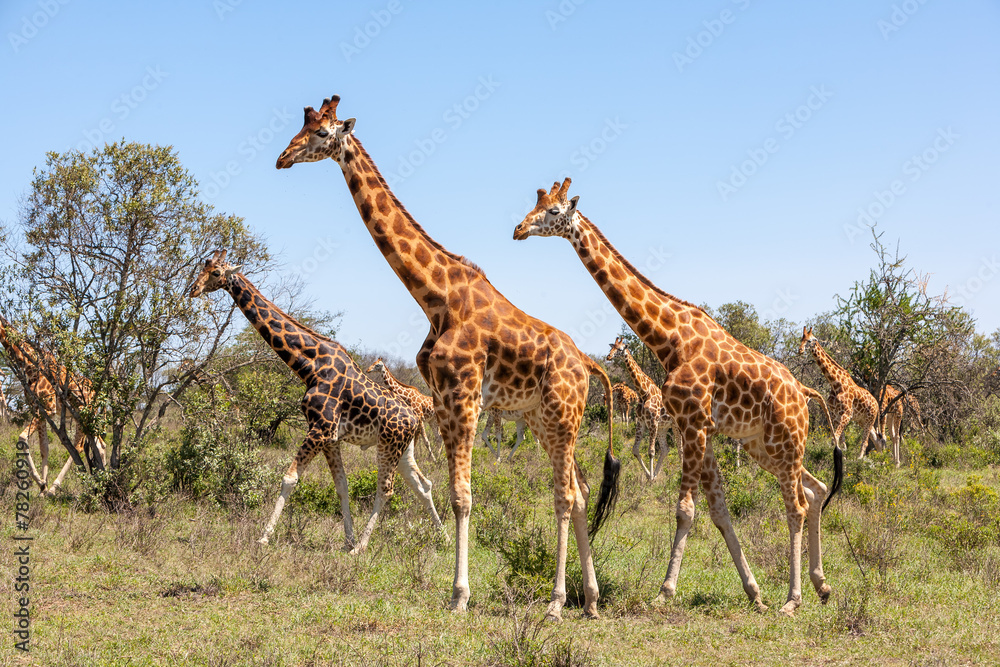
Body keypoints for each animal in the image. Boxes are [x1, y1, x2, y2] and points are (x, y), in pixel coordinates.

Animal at [0, 318, 106, 496]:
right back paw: (105, 481)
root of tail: (100, 395)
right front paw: (42, 488)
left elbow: (22, 438)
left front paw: (42, 484)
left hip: (84, 415)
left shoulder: (49, 408)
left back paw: (55, 487)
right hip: (88, 418)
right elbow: (44, 447)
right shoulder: (38, 409)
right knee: (101, 445)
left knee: (77, 447)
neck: (29, 364)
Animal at [189, 251, 443, 553]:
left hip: (389, 445)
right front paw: (347, 538)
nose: (193, 289)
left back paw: (362, 548)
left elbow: (289, 478)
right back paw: (443, 537)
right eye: (202, 266)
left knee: (387, 489)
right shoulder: (330, 437)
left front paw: (263, 537)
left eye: (216, 273)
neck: (310, 366)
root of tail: (414, 419)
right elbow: (342, 486)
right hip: (403, 449)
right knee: (423, 485)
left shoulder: (320, 429)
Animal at [276, 96, 617, 621]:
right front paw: (458, 589)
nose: (283, 158)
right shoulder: (440, 401)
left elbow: (462, 497)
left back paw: (558, 602)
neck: (436, 297)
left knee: (564, 496)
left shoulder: (464, 398)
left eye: (321, 133)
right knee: (579, 494)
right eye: (301, 126)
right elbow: (447, 490)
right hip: (544, 418)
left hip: (563, 414)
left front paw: (459, 595)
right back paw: (592, 601)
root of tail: (586, 362)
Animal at [607, 338, 679, 481]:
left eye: (620, 349)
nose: (608, 356)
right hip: (663, 428)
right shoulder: (641, 422)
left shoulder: (652, 422)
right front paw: (649, 476)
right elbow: (635, 450)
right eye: (612, 347)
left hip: (675, 426)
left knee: (681, 448)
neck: (644, 393)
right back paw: (656, 474)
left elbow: (651, 452)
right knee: (666, 449)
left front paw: (650, 478)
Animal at [798, 327, 884, 460]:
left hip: (870, 419)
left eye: (809, 341)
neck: (835, 383)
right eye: (801, 339)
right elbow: (840, 440)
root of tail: (876, 404)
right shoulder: (835, 414)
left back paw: (860, 459)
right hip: (862, 420)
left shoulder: (847, 414)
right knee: (876, 439)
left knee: (865, 441)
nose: (800, 350)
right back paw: (881, 459)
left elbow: (836, 438)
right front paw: (842, 454)